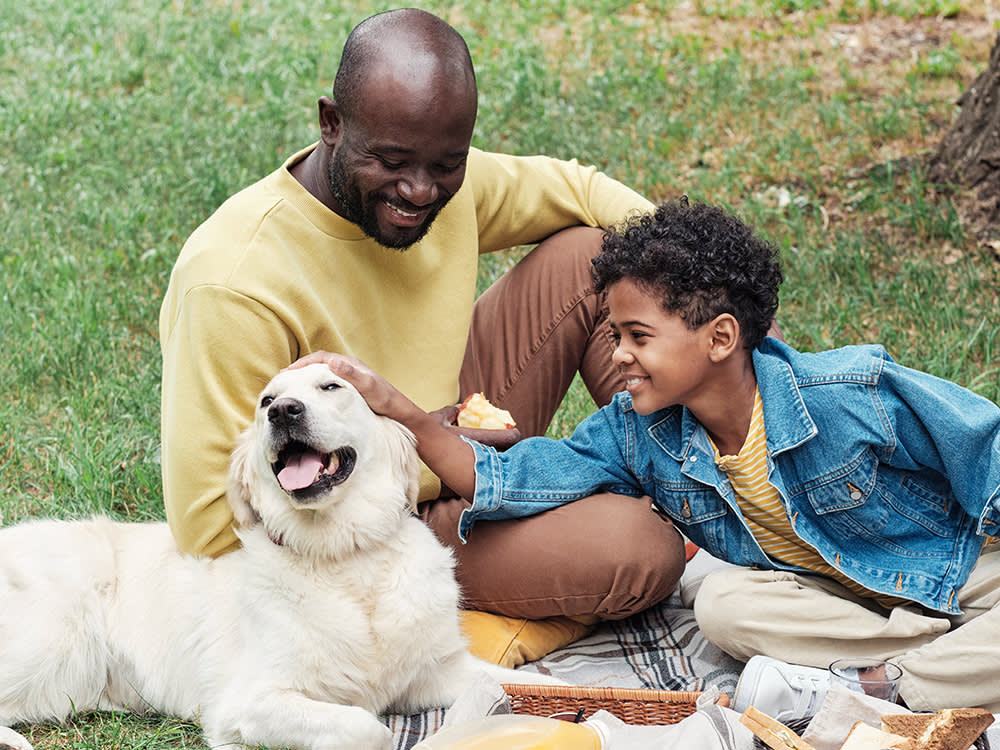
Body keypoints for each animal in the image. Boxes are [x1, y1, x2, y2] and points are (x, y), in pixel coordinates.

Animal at [0, 366, 552, 750]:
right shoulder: (250, 700)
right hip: (53, 642)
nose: (283, 411)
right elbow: (367, 727)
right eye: (265, 399)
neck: (345, 559)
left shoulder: (437, 672)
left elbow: (523, 683)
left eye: (332, 386)